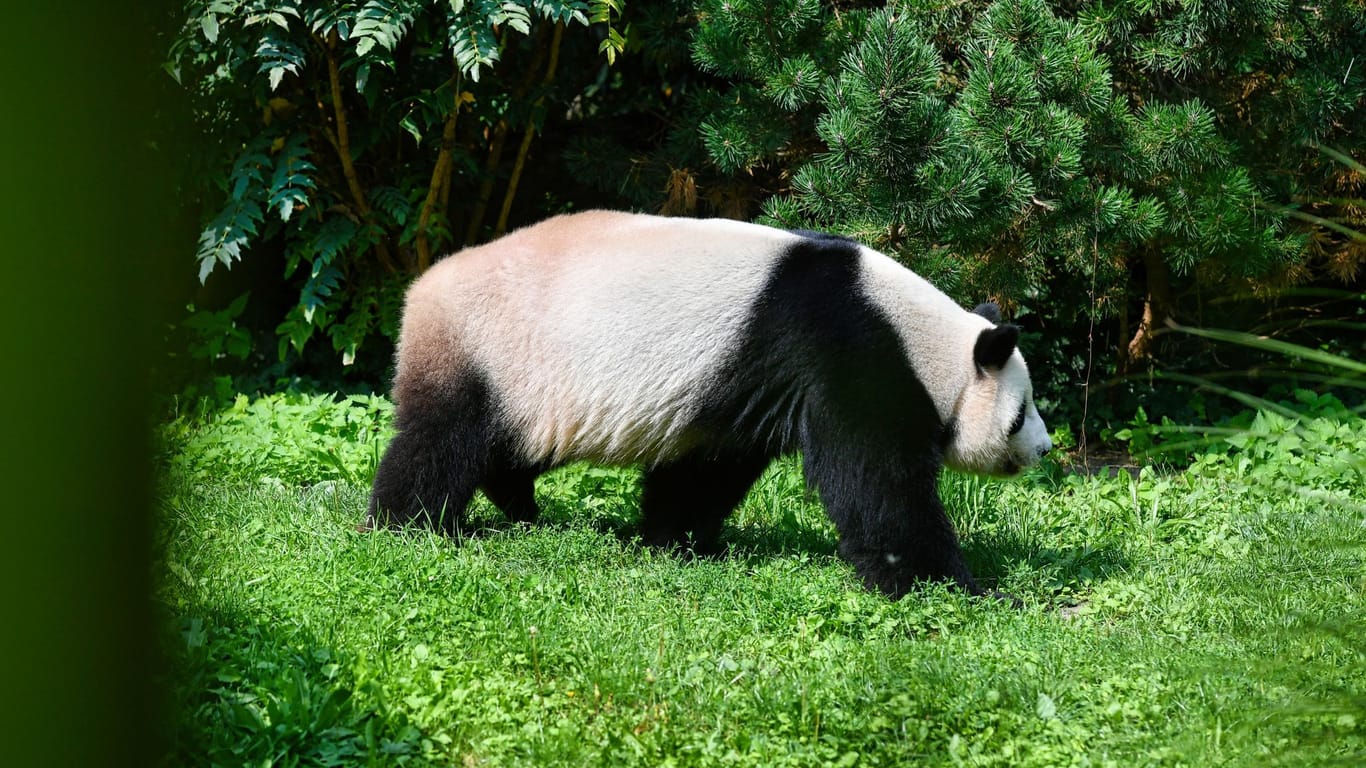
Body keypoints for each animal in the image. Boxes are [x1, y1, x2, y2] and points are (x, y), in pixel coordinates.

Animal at [368, 209, 1049, 598]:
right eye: (1019, 414)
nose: (1044, 449)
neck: (924, 339)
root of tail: (421, 288)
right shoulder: (847, 350)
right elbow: (876, 482)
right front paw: (961, 588)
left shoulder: (741, 385)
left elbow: (708, 466)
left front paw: (678, 541)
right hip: (492, 349)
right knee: (442, 441)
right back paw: (408, 525)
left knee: (510, 447)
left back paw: (519, 505)